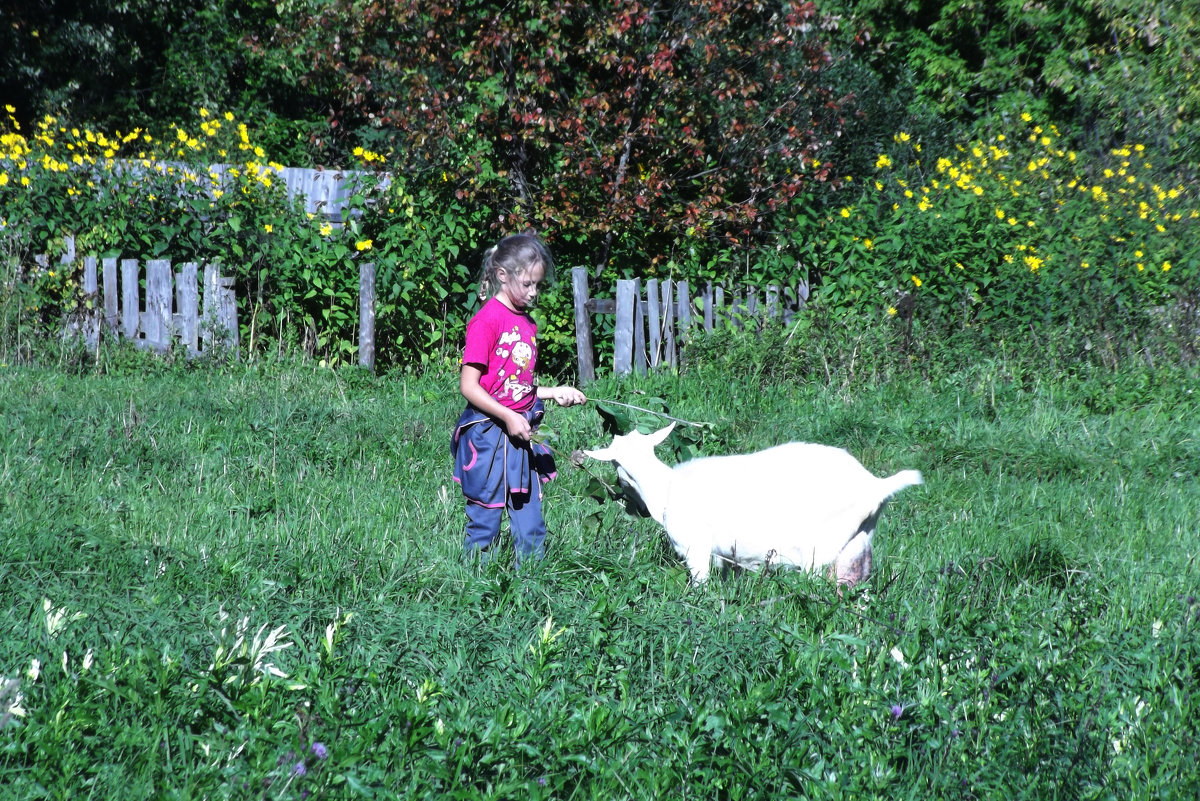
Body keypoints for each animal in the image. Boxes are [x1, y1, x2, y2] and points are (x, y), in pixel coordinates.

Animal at [585, 424, 921, 587]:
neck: (666, 487)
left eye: (616, 466)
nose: (635, 509)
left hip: (820, 552)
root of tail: (874, 486)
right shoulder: (726, 557)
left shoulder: (696, 548)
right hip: (857, 546)